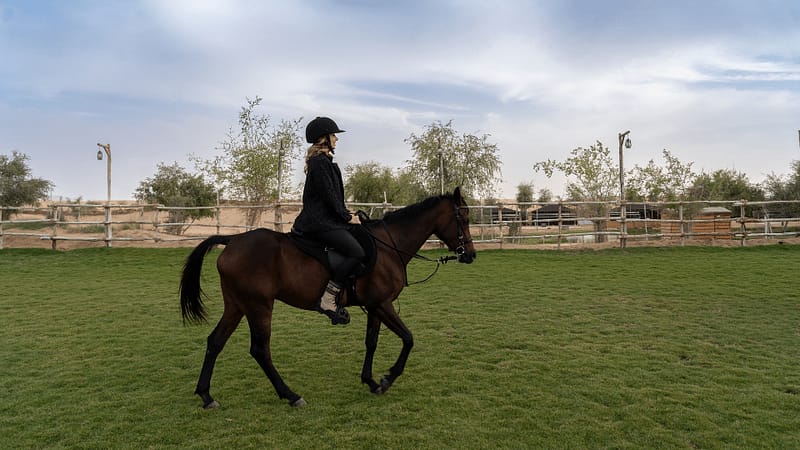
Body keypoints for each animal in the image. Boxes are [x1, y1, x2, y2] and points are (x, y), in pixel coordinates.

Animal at [178, 186, 476, 408]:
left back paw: (206, 396)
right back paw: (291, 395)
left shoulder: (374, 306)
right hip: (258, 306)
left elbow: (371, 342)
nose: (471, 255)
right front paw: (388, 377)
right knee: (260, 350)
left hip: (237, 305)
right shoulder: (382, 304)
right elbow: (408, 338)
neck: (388, 247)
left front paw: (371, 381)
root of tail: (233, 240)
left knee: (215, 342)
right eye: (463, 218)